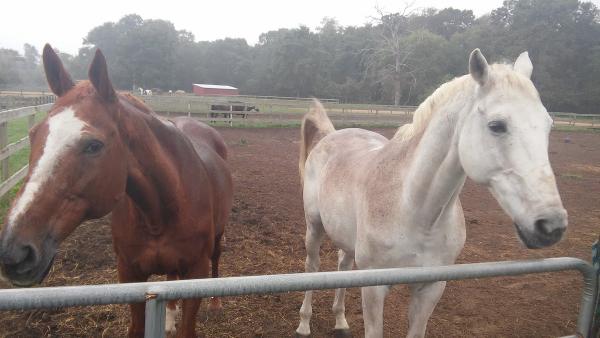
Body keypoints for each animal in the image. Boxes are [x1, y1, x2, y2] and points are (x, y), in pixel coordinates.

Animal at [0, 45, 233, 338]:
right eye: (33, 134)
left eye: (94, 145)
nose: (14, 251)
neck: (160, 213)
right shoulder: (130, 275)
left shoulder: (196, 271)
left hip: (218, 238)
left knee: (217, 259)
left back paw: (216, 303)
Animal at [296, 48, 568, 336]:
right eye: (497, 125)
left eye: (549, 125)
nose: (551, 226)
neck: (413, 209)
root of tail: (331, 135)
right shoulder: (374, 288)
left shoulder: (431, 287)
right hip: (314, 227)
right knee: (312, 267)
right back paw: (304, 323)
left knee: (343, 264)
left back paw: (340, 320)